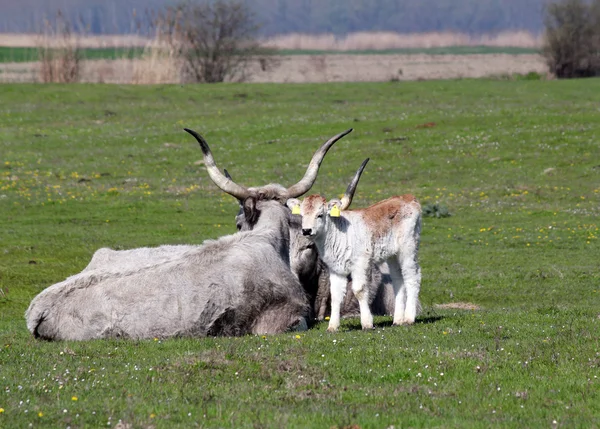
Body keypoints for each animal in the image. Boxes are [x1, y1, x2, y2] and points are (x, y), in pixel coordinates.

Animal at [288, 160, 422, 332]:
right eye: (302, 215)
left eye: (320, 215)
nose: (306, 230)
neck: (339, 233)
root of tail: (408, 198)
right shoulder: (335, 268)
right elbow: (336, 295)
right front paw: (332, 326)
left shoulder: (361, 263)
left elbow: (359, 290)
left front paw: (367, 322)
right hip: (393, 255)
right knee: (398, 279)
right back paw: (398, 319)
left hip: (408, 249)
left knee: (412, 276)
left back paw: (409, 318)